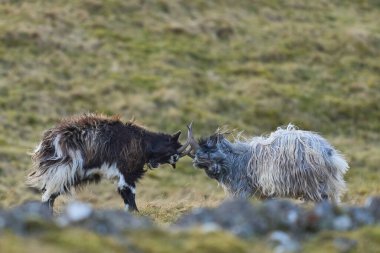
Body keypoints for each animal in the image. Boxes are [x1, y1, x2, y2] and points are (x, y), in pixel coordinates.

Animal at [26, 113, 190, 211]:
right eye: (174, 151)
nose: (175, 159)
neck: (144, 143)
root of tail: (49, 141)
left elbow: (125, 196)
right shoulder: (126, 172)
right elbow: (130, 194)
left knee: (50, 194)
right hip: (63, 171)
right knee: (48, 195)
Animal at [189, 125, 348, 204]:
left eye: (210, 150)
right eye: (201, 162)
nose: (197, 161)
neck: (237, 159)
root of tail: (328, 153)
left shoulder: (243, 190)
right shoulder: (263, 194)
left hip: (314, 187)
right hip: (327, 186)